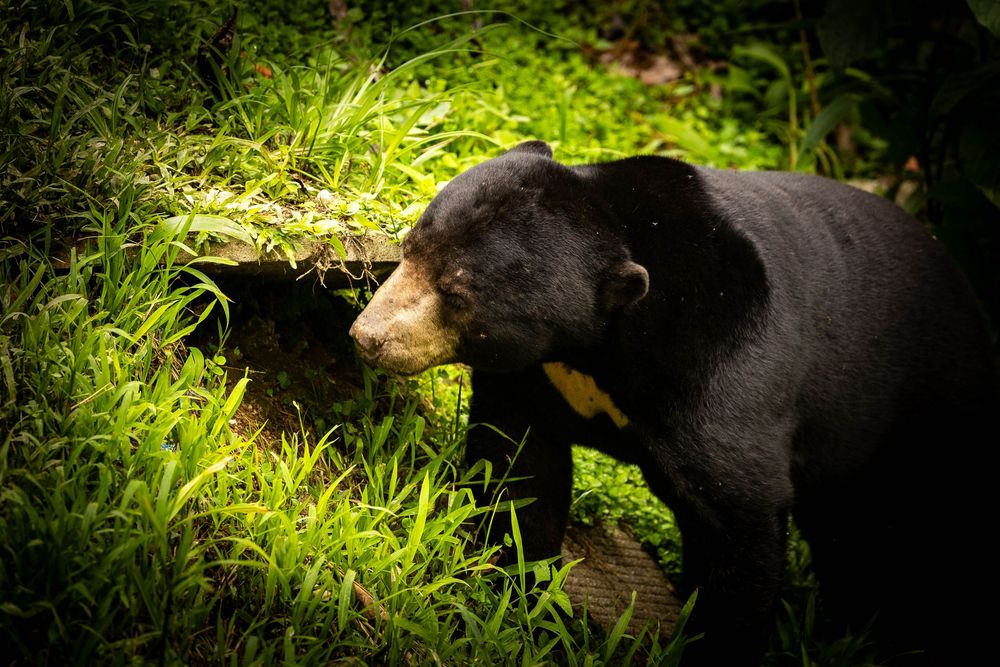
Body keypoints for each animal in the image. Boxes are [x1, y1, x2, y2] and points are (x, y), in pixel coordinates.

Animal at [349, 141, 997, 664]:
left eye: (458, 293)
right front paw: (513, 589)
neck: (601, 343)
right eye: (411, 246)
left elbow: (738, 519)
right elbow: (518, 466)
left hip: (925, 421)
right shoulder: (538, 375)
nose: (368, 335)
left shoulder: (726, 371)